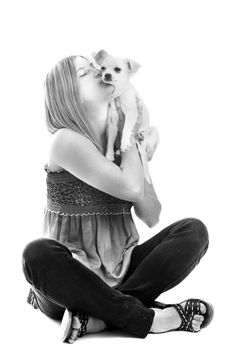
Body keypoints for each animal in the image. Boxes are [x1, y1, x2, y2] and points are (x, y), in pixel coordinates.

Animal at [91, 50, 158, 185]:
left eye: (117, 69)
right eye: (102, 68)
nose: (107, 75)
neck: (118, 93)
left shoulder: (132, 113)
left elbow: (126, 127)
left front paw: (126, 142)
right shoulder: (112, 122)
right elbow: (110, 140)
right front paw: (109, 155)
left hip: (153, 131)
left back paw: (140, 136)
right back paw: (118, 150)